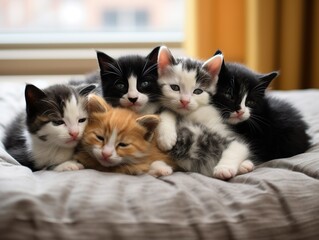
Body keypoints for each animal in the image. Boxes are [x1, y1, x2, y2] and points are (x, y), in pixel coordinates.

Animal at [156, 46, 254, 179]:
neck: (190, 115)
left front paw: (224, 168)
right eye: (175, 88)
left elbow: (238, 146)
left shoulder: (224, 129)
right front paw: (166, 137)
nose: (185, 101)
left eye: (198, 91)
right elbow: (167, 110)